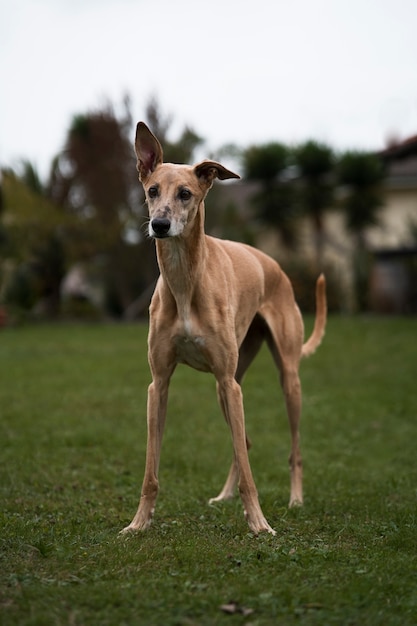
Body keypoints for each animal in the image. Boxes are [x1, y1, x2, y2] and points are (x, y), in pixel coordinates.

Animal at [122, 123, 326, 536]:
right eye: (152, 191)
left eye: (185, 193)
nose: (160, 225)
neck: (185, 280)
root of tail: (275, 267)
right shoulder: (159, 384)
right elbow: (151, 469)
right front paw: (137, 524)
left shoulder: (231, 384)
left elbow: (251, 472)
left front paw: (260, 525)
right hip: (226, 385)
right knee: (242, 444)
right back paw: (225, 496)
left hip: (284, 380)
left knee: (292, 447)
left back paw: (295, 499)